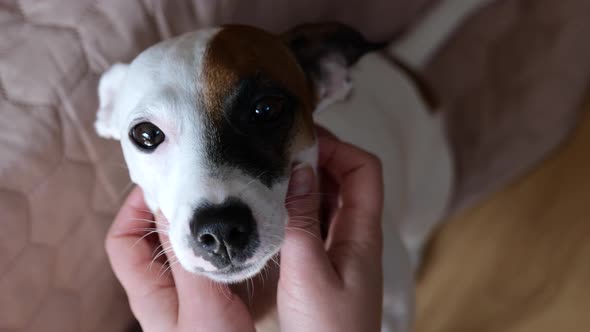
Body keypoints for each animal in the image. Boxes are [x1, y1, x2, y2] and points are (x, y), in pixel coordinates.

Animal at [96, 1, 494, 330]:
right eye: (146, 134)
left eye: (266, 108)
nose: (220, 230)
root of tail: (402, 67)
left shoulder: (393, 306)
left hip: (429, 190)